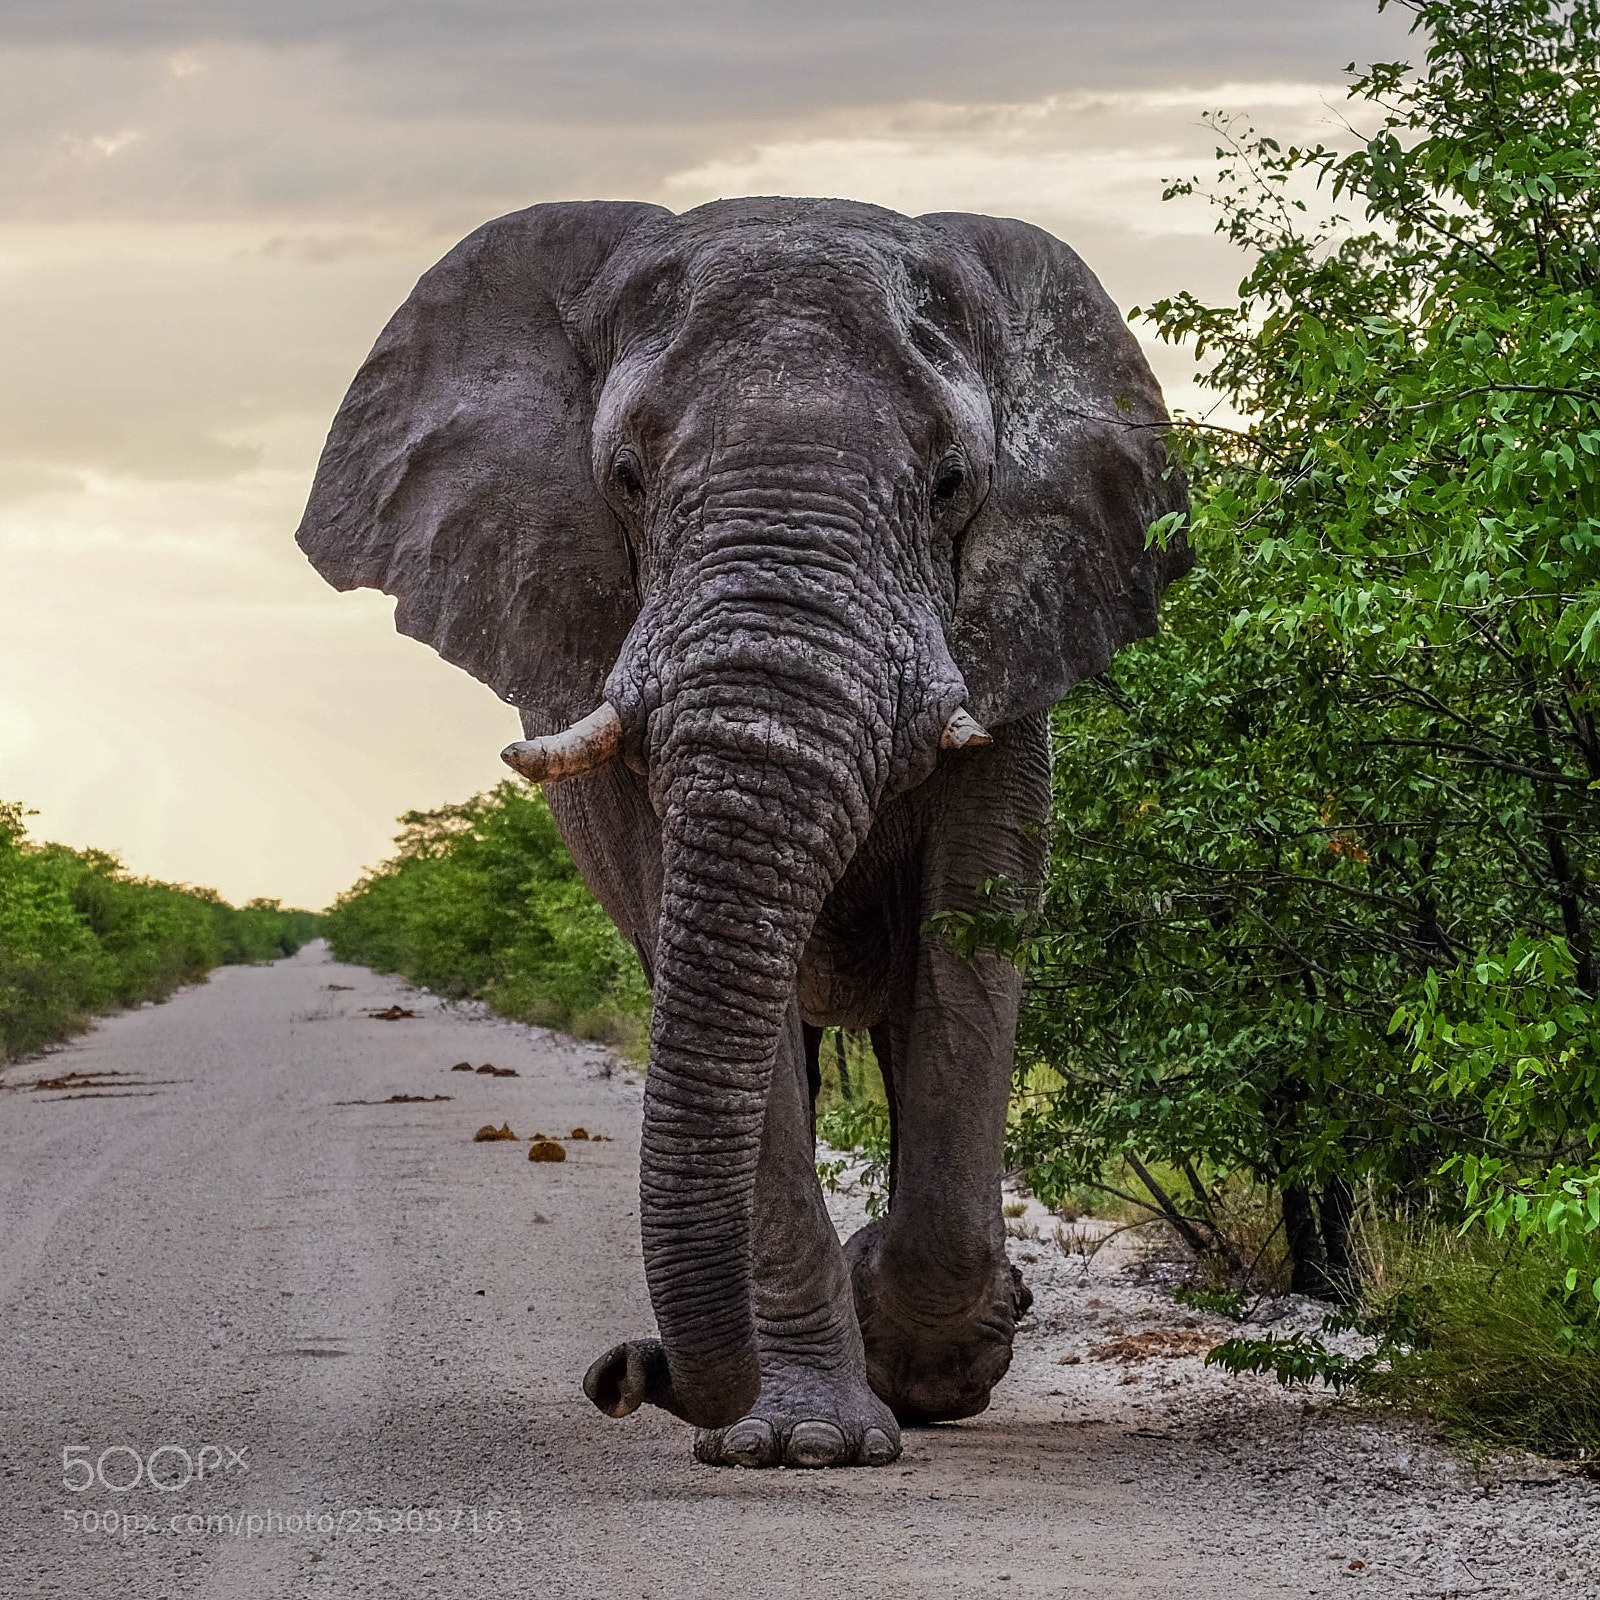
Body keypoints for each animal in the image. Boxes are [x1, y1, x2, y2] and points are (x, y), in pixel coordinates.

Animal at [296, 196, 1190, 1469]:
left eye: (952, 483)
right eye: (624, 476)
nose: (623, 1376)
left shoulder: (1017, 646)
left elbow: (968, 946)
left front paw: (928, 1364)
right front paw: (807, 1440)